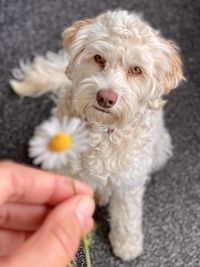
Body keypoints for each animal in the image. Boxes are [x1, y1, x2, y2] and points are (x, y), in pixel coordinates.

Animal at [10, 10, 184, 262]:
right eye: (99, 58)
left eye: (136, 70)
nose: (106, 98)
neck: (103, 131)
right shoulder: (70, 173)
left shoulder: (129, 179)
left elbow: (127, 214)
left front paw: (126, 244)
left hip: (160, 150)